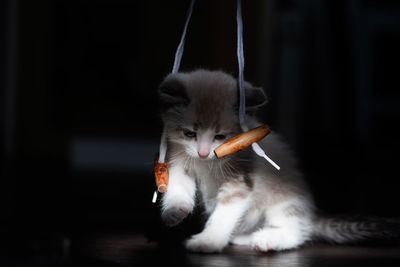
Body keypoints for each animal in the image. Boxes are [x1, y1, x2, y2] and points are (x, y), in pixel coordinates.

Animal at [158, 69, 398, 253]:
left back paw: (268, 239)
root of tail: (310, 215)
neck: (206, 164)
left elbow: (224, 214)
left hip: (283, 201)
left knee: (298, 231)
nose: (203, 153)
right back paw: (244, 237)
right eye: (190, 134)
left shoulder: (240, 181)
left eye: (220, 136)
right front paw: (175, 211)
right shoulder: (180, 161)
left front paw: (208, 242)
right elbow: (178, 185)